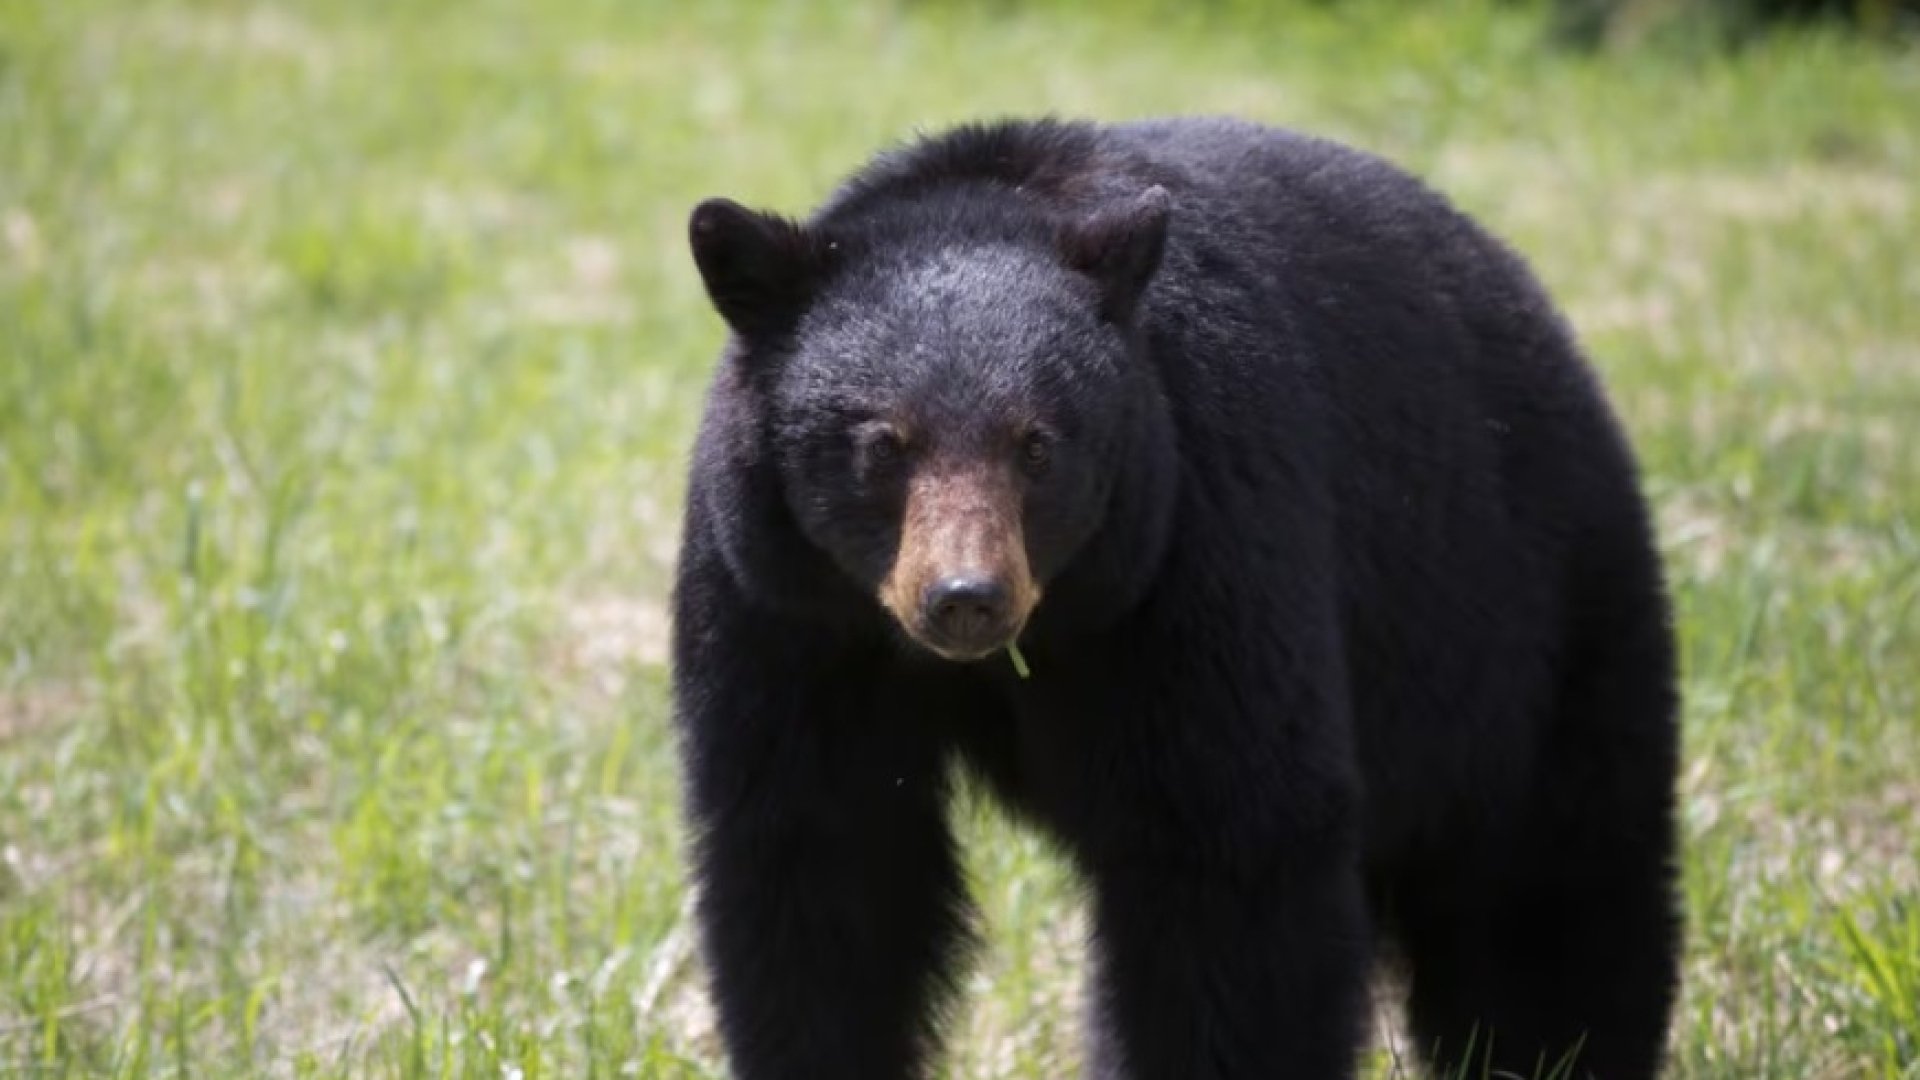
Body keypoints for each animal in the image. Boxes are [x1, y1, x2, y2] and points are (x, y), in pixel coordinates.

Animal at [675, 117, 1681, 1076]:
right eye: (885, 444)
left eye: (1037, 443)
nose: (966, 598)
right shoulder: (783, 606)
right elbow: (819, 861)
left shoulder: (1197, 542)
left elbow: (1231, 849)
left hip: (1530, 615)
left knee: (1552, 882)